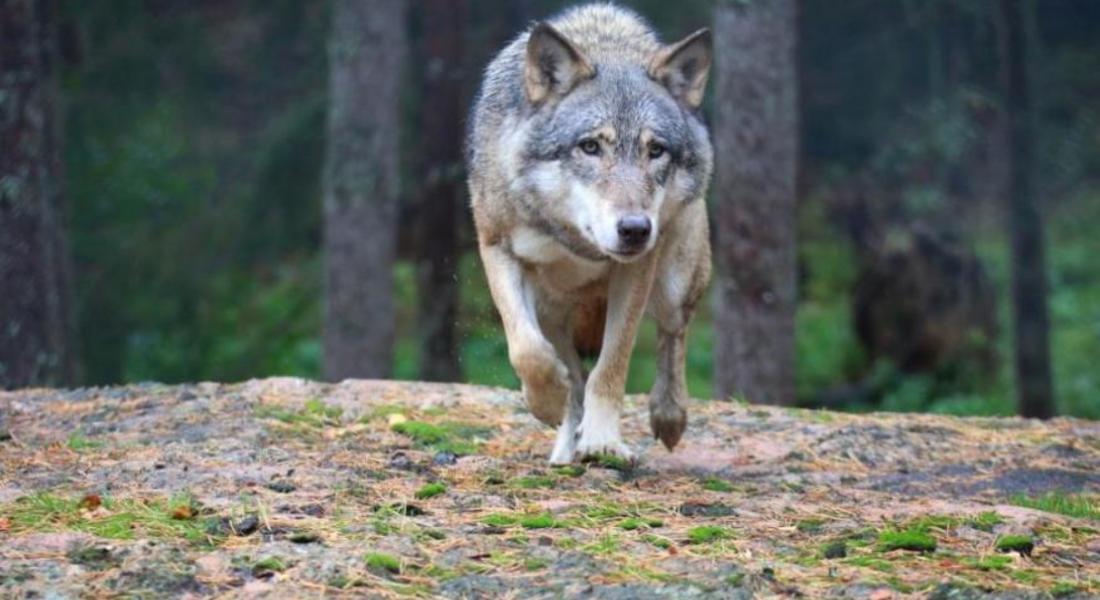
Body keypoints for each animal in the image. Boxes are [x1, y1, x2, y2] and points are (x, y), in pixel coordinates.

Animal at [464, 4, 712, 460]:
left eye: (655, 151)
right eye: (591, 147)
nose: (635, 229)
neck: (575, 243)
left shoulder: (637, 271)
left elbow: (611, 366)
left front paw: (602, 441)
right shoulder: (497, 249)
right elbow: (526, 350)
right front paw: (546, 402)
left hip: (674, 283)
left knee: (673, 333)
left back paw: (668, 415)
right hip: (553, 312)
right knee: (571, 375)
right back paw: (565, 451)